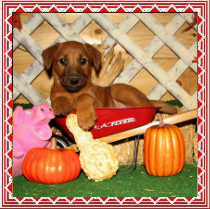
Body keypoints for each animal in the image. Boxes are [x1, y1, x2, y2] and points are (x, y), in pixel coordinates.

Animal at [42, 41, 177, 131]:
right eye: (63, 61)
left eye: (83, 61)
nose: (74, 80)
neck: (73, 93)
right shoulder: (55, 95)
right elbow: (58, 98)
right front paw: (62, 104)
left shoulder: (97, 103)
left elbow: (83, 97)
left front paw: (85, 118)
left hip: (117, 89)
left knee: (148, 106)